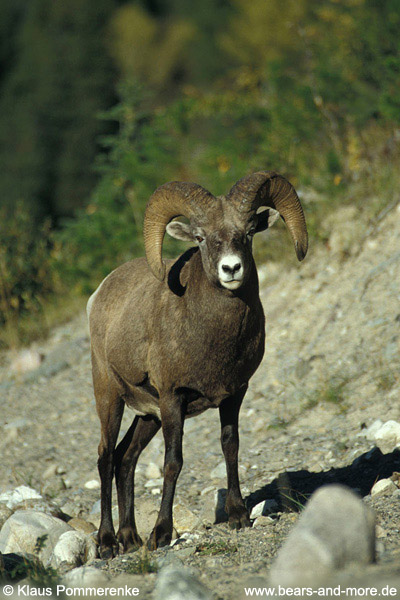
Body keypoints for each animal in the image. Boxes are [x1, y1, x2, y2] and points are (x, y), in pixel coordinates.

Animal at [86, 170, 306, 556]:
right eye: (201, 237)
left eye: (249, 231)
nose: (231, 269)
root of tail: (98, 295)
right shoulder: (174, 398)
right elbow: (173, 463)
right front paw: (161, 534)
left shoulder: (234, 394)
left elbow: (230, 446)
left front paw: (238, 516)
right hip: (110, 395)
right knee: (106, 456)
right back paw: (109, 543)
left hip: (148, 414)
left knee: (126, 457)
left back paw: (131, 539)